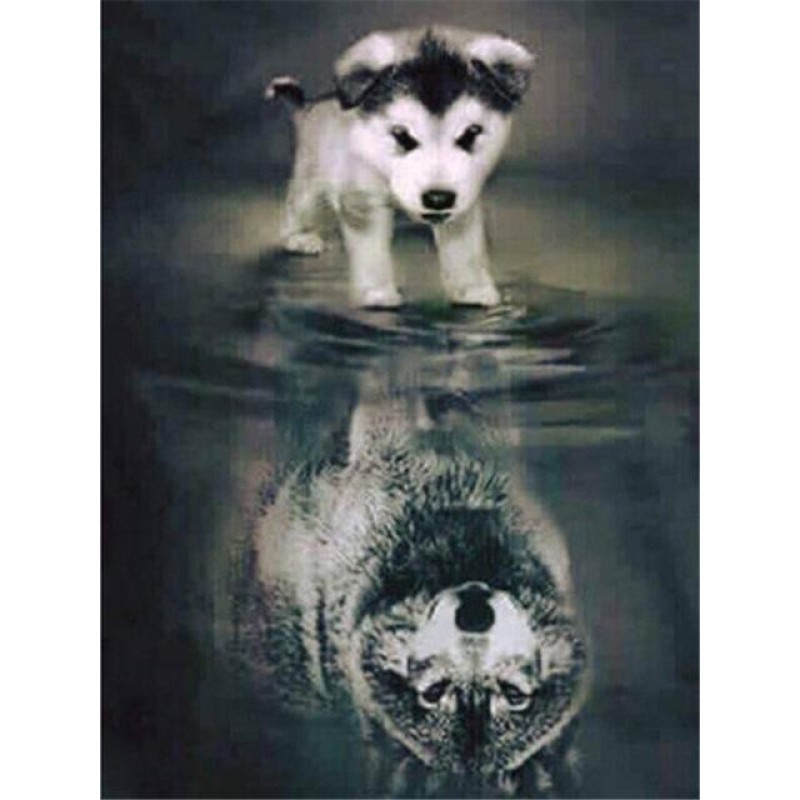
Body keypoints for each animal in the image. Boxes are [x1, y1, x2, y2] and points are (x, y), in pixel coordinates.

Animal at [267, 27, 535, 309]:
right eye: (401, 135)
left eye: (471, 133)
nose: (438, 198)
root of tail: (311, 106)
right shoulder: (363, 200)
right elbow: (371, 251)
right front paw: (377, 294)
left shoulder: (464, 201)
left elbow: (465, 249)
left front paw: (473, 289)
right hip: (311, 182)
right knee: (297, 206)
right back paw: (297, 237)